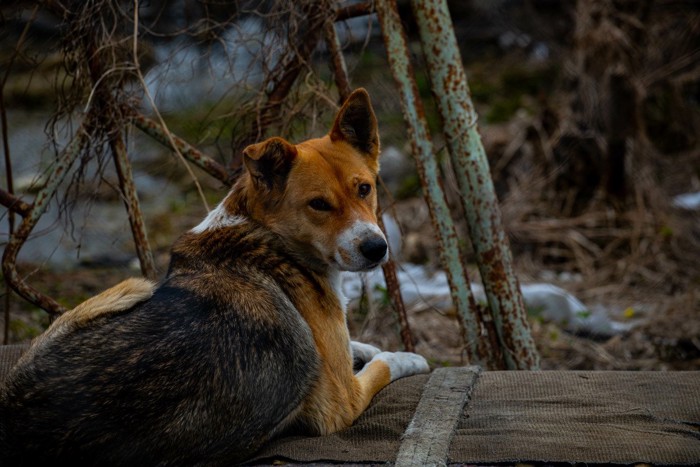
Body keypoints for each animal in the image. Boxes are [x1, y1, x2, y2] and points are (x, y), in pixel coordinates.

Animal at [0, 89, 430, 466]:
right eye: (319, 204)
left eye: (365, 188)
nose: (377, 248)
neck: (266, 233)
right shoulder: (342, 403)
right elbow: (384, 365)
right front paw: (406, 356)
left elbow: (358, 347)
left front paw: (365, 347)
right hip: (130, 288)